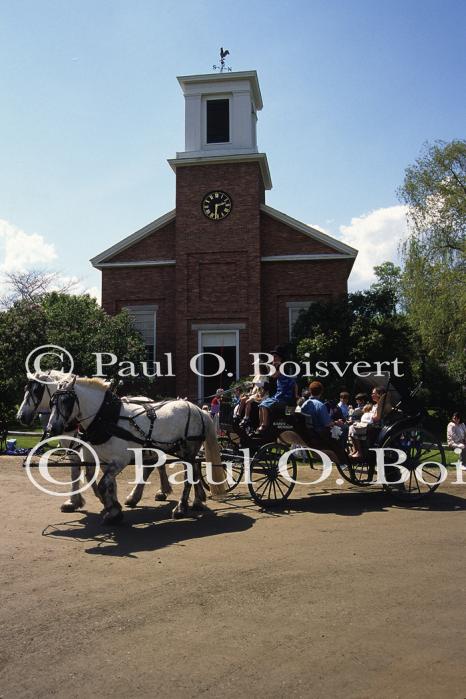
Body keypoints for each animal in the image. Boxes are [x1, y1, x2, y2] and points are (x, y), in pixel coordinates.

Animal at [16, 372, 173, 516]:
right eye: (25, 388)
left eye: (36, 391)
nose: (20, 416)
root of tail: (147, 399)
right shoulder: (77, 451)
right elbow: (76, 473)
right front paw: (74, 502)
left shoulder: (91, 451)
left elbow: (90, 474)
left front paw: (107, 501)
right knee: (153, 465)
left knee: (154, 465)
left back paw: (157, 492)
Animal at [47, 380, 228, 524]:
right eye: (52, 402)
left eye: (66, 401)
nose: (51, 428)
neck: (107, 418)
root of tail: (199, 409)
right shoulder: (104, 460)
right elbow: (106, 484)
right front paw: (113, 509)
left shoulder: (120, 459)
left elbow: (103, 484)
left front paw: (113, 511)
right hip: (179, 450)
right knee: (194, 468)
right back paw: (197, 501)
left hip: (188, 448)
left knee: (189, 475)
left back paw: (181, 508)